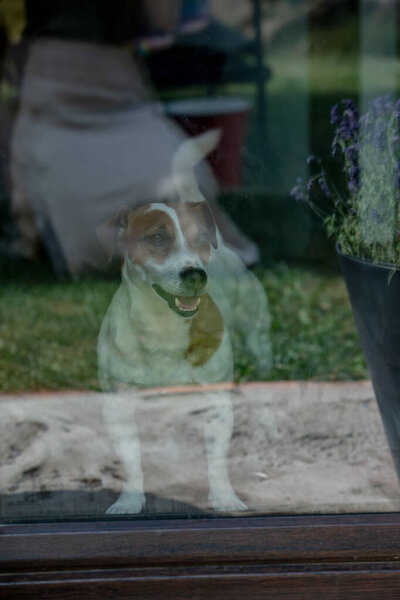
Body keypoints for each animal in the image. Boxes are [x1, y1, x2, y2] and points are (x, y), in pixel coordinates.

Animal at [97, 130, 272, 510]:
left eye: (202, 240)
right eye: (156, 238)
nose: (196, 274)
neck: (163, 328)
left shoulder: (215, 402)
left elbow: (217, 459)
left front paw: (225, 499)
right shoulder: (119, 403)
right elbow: (131, 458)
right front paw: (129, 501)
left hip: (256, 327)